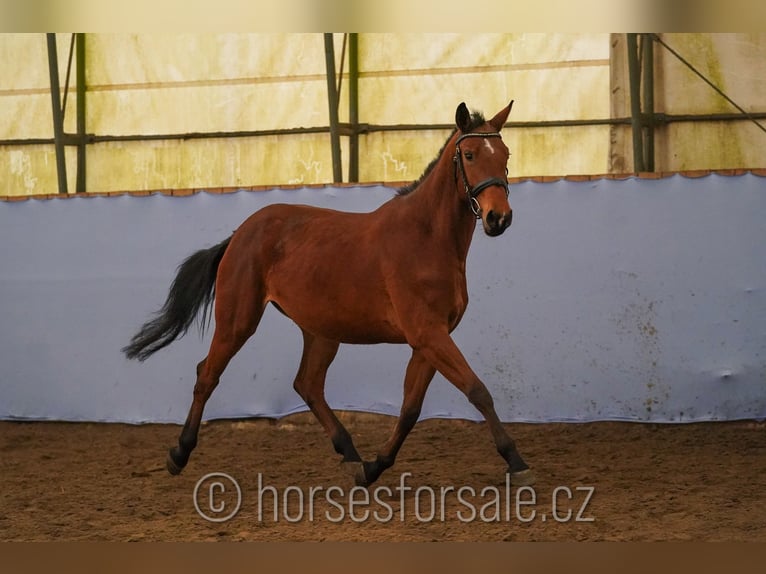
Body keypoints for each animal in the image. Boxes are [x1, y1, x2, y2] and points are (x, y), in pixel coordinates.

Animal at [124, 101, 536, 488]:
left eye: (505, 156)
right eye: (470, 155)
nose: (498, 218)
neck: (426, 238)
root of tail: (240, 234)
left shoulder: (429, 340)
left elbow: (410, 409)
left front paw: (372, 468)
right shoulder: (428, 334)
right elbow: (477, 390)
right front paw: (517, 462)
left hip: (321, 331)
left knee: (307, 384)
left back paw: (350, 453)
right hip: (238, 321)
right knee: (207, 374)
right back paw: (179, 453)